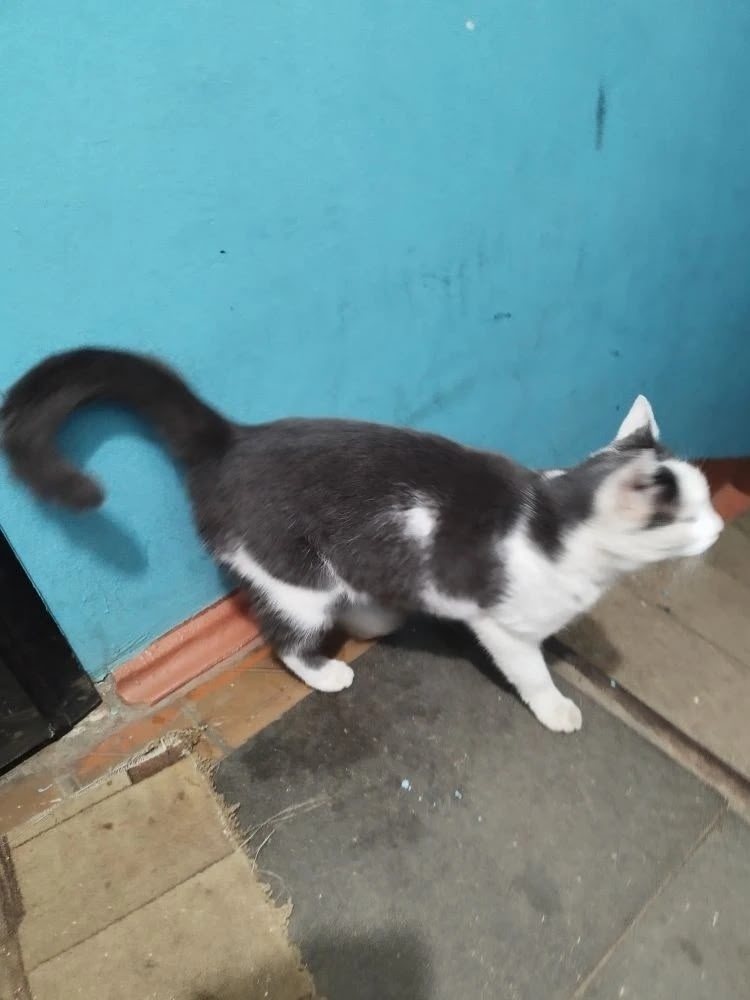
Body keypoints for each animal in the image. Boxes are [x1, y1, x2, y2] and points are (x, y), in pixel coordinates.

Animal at [1, 348, 723, 733]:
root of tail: (233, 440)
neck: (553, 528)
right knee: (286, 638)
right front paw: (555, 707)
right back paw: (326, 671)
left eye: (709, 500)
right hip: (296, 579)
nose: (719, 526)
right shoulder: (502, 626)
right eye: (688, 517)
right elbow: (530, 669)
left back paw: (377, 616)